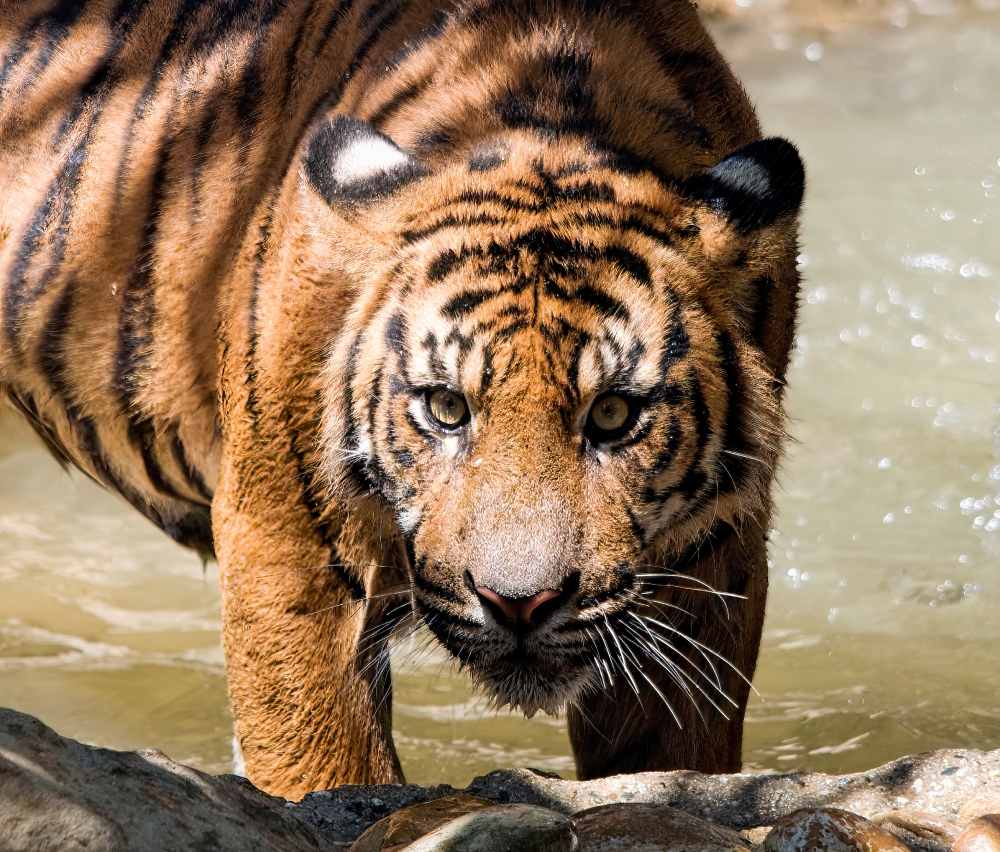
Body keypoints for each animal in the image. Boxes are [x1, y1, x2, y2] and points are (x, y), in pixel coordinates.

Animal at [0, 0, 800, 800]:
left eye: (613, 414)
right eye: (446, 407)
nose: (521, 605)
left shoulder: (710, 562)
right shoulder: (284, 543)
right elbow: (326, 768)